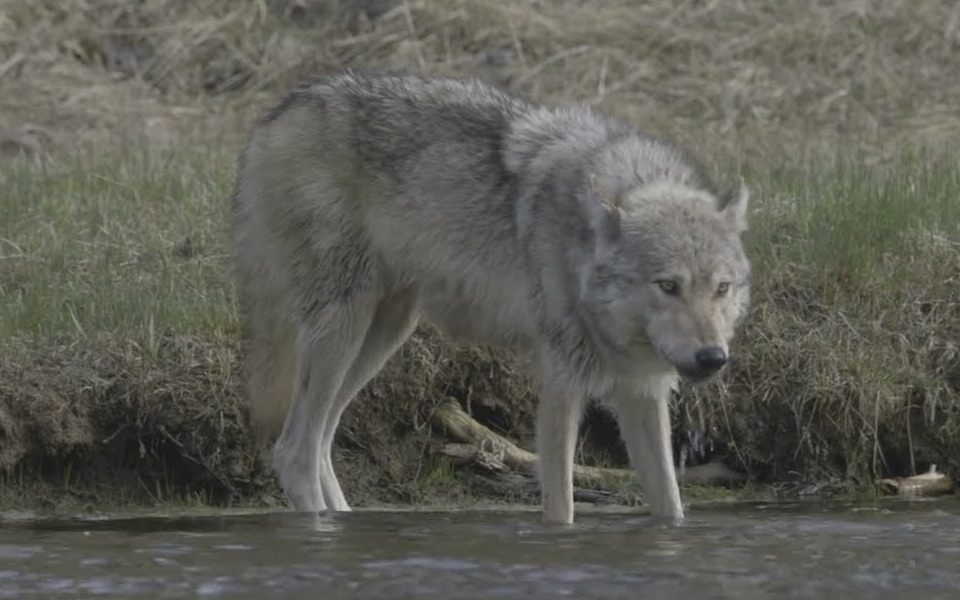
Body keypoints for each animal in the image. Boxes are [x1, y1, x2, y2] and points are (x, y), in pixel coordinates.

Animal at [232, 68, 752, 524]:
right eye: (668, 285)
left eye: (721, 288)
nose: (712, 358)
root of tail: (277, 113)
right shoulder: (561, 386)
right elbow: (561, 509)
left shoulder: (642, 394)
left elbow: (671, 506)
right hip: (342, 329)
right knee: (294, 451)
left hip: (383, 334)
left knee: (321, 442)